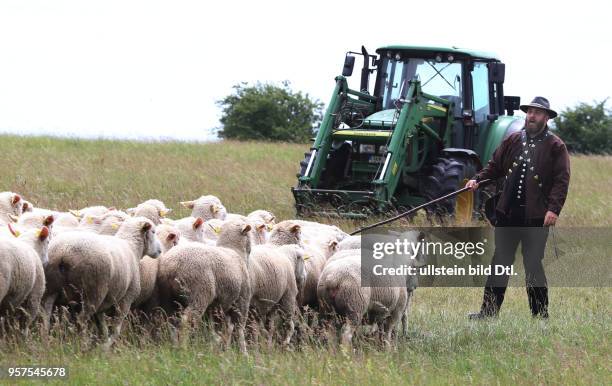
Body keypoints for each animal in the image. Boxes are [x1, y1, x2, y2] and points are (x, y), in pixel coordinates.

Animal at [43, 217, 163, 350]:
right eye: (153, 231)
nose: (160, 250)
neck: (132, 247)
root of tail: (63, 253)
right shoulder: (126, 298)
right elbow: (116, 329)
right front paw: (106, 346)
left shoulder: (104, 303)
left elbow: (103, 327)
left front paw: (103, 344)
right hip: (93, 291)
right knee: (81, 320)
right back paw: (83, 345)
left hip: (51, 288)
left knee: (46, 315)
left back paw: (45, 340)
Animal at [159, 219, 255, 354]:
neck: (234, 250)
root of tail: (173, 265)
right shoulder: (242, 299)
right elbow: (239, 328)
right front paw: (243, 353)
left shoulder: (217, 306)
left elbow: (221, 330)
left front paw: (221, 349)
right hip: (200, 292)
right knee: (187, 320)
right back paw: (184, 349)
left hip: (169, 297)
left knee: (172, 321)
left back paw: (175, 346)